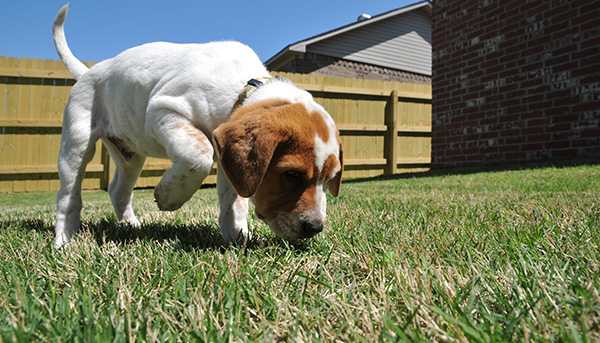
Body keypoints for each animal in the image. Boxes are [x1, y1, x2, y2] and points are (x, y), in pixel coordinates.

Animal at [51, 4, 342, 249]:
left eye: (329, 178)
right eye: (291, 175)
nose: (315, 227)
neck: (241, 88)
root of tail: (88, 72)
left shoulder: (229, 156)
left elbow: (233, 200)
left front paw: (237, 237)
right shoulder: (165, 111)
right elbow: (199, 155)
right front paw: (168, 196)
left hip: (130, 156)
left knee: (117, 190)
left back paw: (130, 227)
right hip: (77, 143)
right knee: (68, 196)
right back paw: (64, 240)